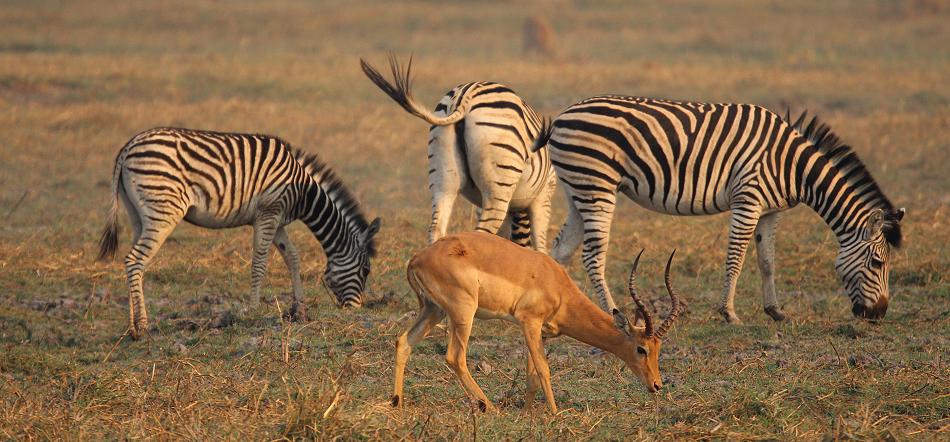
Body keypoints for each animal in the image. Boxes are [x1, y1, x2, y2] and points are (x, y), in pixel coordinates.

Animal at [95, 126, 382, 340]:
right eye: (366, 270)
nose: (356, 311)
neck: (303, 190)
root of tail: (129, 146)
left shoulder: (277, 220)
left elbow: (293, 258)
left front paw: (298, 310)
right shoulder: (268, 213)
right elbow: (260, 263)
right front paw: (253, 310)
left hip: (137, 215)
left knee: (132, 262)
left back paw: (131, 326)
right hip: (163, 211)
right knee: (135, 260)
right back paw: (142, 327)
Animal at [362, 54, 556, 252]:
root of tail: (465, 96)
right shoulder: (544, 196)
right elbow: (540, 243)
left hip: (443, 172)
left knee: (437, 227)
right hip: (498, 182)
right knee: (481, 232)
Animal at [394, 231, 684, 414]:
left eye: (658, 350)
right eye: (641, 348)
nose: (656, 385)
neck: (558, 287)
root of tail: (417, 257)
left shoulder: (541, 332)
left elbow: (532, 375)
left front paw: (529, 413)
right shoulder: (530, 323)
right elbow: (544, 370)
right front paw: (554, 413)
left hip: (433, 310)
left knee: (404, 342)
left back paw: (397, 402)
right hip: (463, 312)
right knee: (455, 357)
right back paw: (491, 408)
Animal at [536, 96, 908, 322]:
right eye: (878, 263)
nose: (879, 314)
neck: (794, 166)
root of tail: (563, 116)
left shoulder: (770, 210)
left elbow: (767, 261)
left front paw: (775, 311)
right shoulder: (748, 198)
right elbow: (736, 257)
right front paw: (729, 312)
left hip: (578, 189)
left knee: (560, 251)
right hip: (596, 185)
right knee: (592, 256)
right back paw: (616, 313)